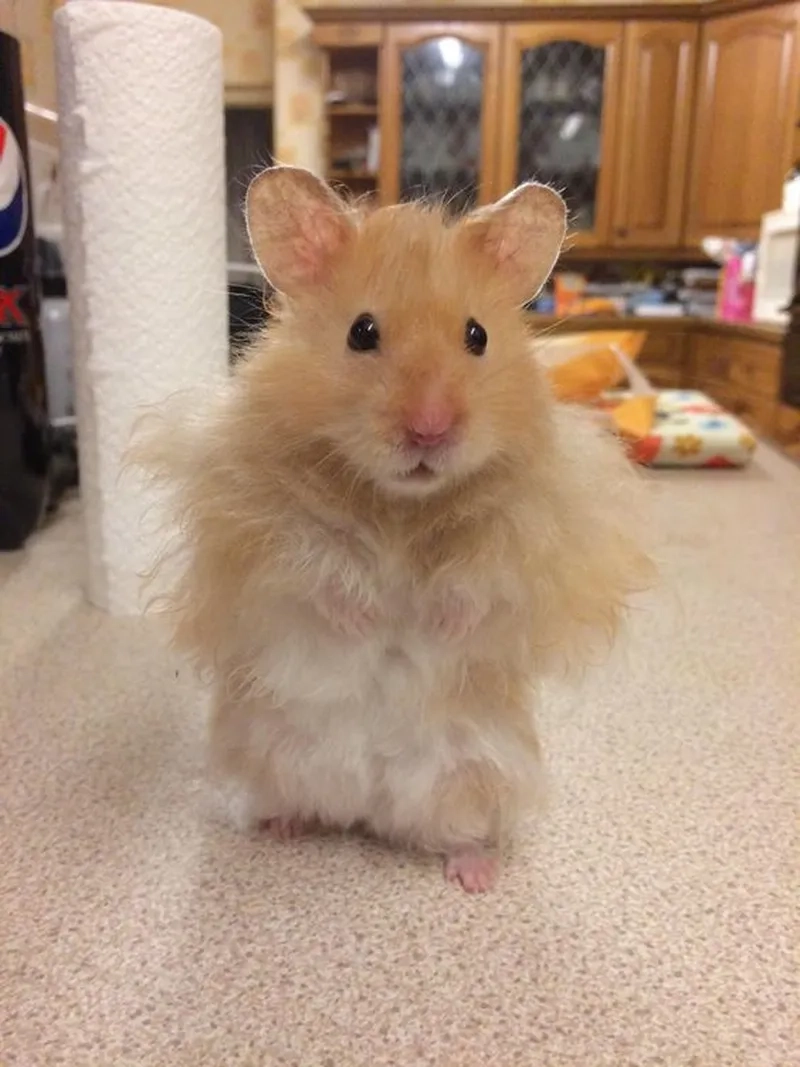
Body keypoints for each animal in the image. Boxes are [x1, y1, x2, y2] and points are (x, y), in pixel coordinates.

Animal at [139, 167, 653, 892]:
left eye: (477, 336)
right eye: (361, 332)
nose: (430, 429)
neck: (399, 507)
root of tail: (366, 807)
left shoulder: (529, 529)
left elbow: (473, 583)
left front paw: (428, 621)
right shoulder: (258, 521)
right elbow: (318, 565)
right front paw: (369, 618)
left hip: (474, 776)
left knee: (451, 830)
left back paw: (475, 875)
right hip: (270, 752)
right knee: (302, 804)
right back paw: (286, 827)